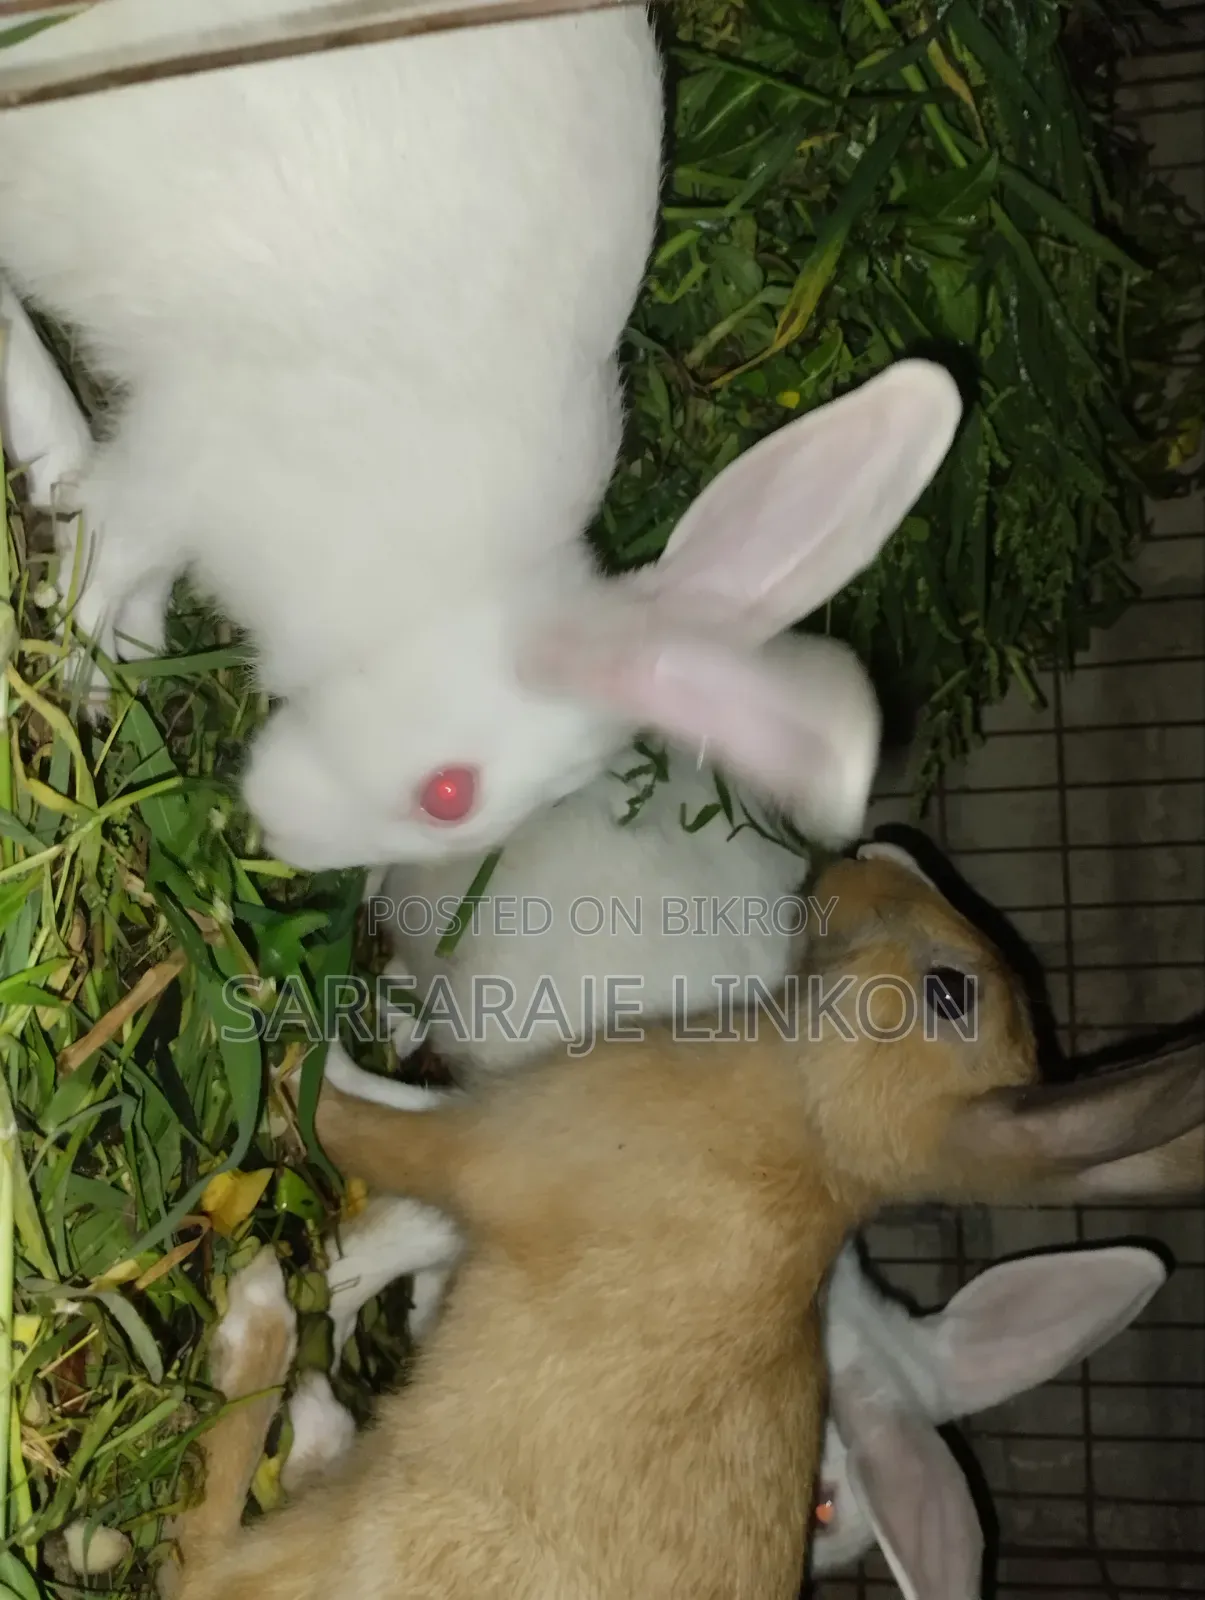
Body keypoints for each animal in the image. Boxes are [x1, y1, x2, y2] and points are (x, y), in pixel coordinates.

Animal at [0, 3, 963, 871]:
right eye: (449, 794)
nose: (280, 844)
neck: (421, 602)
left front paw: (135, 649)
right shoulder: (188, 455)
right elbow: (110, 548)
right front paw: (87, 675)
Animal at [156, 839, 1204, 1600]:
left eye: (949, 992)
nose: (876, 850)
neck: (809, 1130)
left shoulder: (489, 1144)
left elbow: (370, 1133)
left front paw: (280, 1026)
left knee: (200, 1556)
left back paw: (267, 1334)